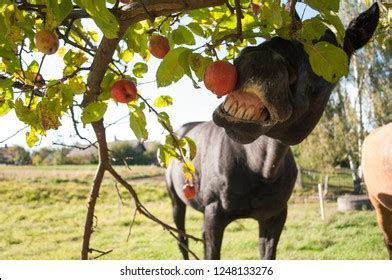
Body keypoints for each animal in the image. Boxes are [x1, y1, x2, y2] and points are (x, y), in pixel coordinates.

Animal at [166, 4, 380, 260]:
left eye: (334, 68)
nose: (262, 59)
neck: (261, 167)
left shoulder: (274, 219)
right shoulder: (214, 217)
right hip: (176, 202)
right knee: (182, 240)